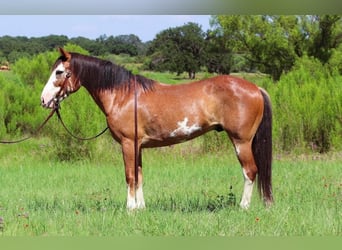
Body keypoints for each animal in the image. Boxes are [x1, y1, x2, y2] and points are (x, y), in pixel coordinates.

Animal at [41, 47, 274, 210]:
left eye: (59, 72)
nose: (43, 100)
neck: (123, 95)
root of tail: (255, 88)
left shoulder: (128, 144)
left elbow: (129, 176)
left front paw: (130, 209)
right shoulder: (138, 146)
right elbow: (139, 176)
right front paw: (141, 208)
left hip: (241, 141)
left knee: (250, 171)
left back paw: (243, 207)